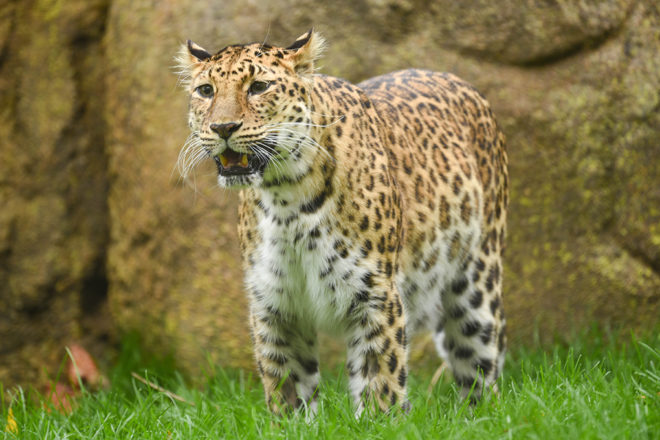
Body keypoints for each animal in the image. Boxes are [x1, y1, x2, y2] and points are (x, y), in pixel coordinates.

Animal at [174, 30, 506, 416]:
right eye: (206, 91)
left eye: (258, 86)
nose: (222, 127)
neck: (285, 200)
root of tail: (453, 77)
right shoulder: (275, 304)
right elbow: (287, 388)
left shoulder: (375, 296)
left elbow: (380, 381)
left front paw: (380, 419)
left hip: (477, 284)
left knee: (479, 370)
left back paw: (480, 414)